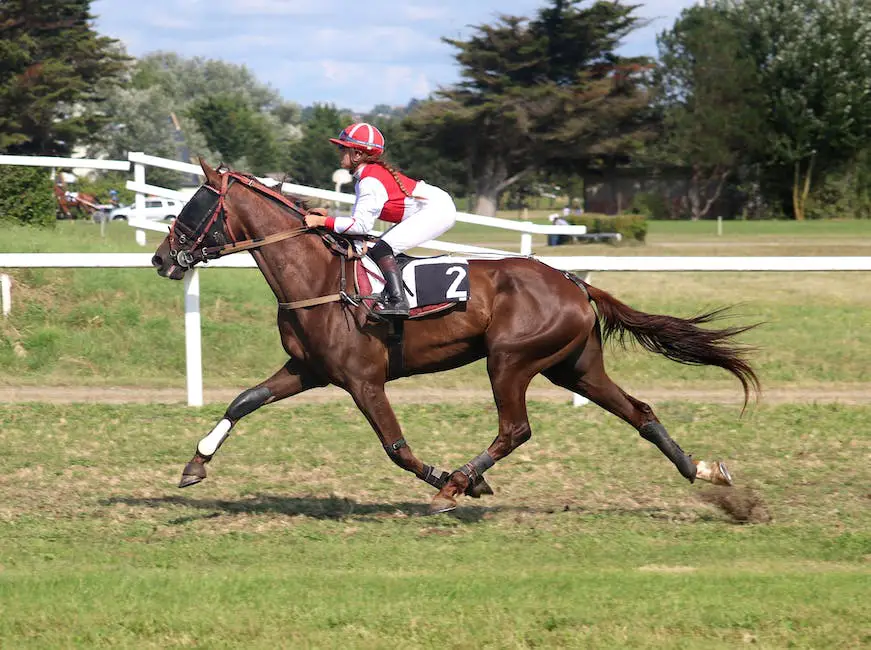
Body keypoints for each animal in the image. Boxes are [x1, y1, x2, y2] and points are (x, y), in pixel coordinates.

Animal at [153, 161, 760, 512]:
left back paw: (459, 484)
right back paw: (701, 469)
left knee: (515, 429)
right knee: (638, 411)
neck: (319, 278)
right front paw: (195, 464)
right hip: (575, 366)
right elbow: (243, 400)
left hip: (510, 361)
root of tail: (573, 280)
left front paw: (445, 479)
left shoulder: (363, 380)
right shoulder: (309, 370)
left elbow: (396, 448)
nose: (161, 259)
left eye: (194, 208)